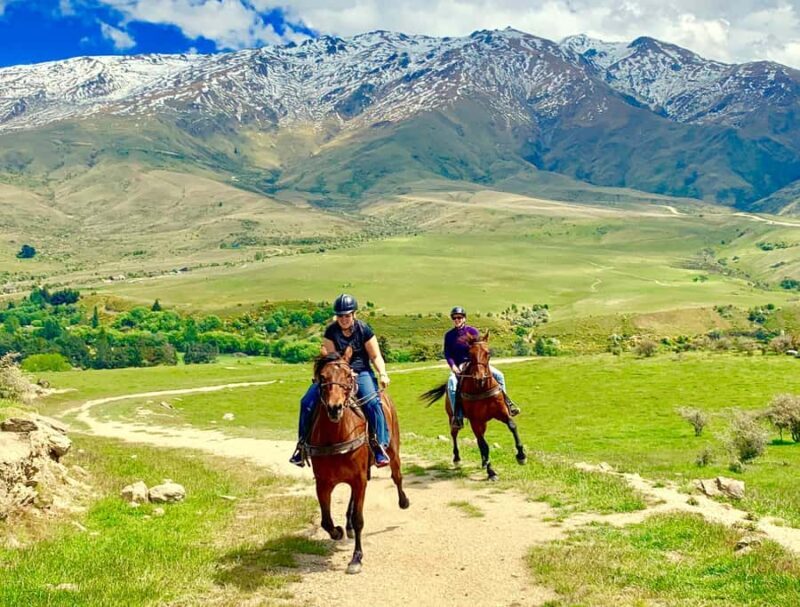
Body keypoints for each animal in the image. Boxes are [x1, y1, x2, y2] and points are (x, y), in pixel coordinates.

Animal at [305, 350, 410, 574]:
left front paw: (356, 558)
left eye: (348, 376)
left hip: (393, 452)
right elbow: (326, 520)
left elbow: (359, 519)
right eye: (323, 377)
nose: (335, 408)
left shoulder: (359, 479)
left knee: (397, 476)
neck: (335, 437)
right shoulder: (323, 483)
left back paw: (404, 501)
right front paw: (338, 531)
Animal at [421, 331, 526, 481]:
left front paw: (521, 456)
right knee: (455, 435)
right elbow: (484, 444)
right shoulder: (475, 421)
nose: (479, 378)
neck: (481, 388)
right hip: (454, 418)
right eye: (470, 354)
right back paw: (457, 459)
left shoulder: (502, 413)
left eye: (488, 353)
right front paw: (491, 472)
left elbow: (512, 426)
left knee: (478, 439)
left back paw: (483, 461)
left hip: (483, 422)